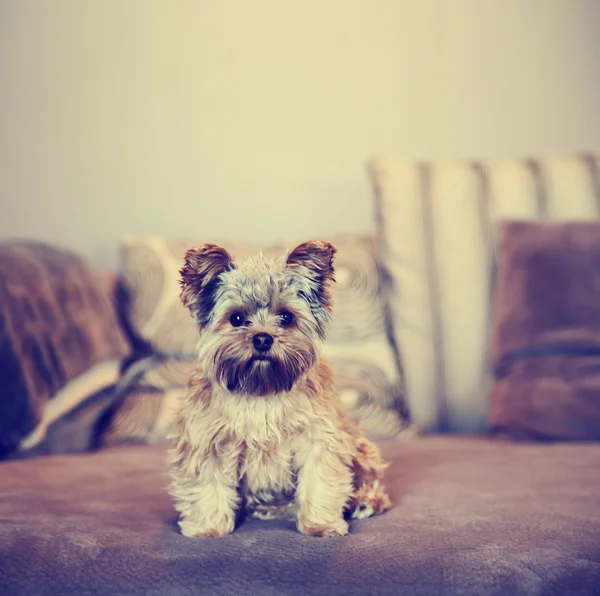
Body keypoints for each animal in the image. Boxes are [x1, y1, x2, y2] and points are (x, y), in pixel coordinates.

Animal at [168, 240, 390, 536]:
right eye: (236, 319)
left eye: (286, 317)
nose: (263, 338)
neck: (261, 390)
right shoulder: (208, 443)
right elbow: (208, 488)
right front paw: (209, 527)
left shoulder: (318, 438)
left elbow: (319, 481)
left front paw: (320, 523)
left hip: (360, 445)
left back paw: (364, 501)